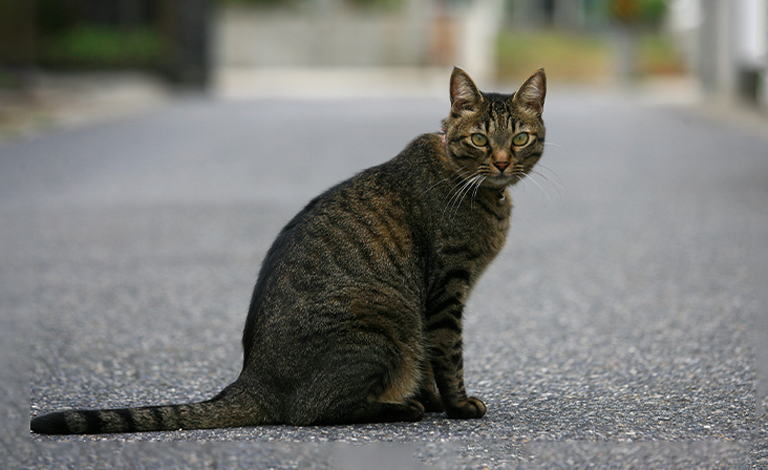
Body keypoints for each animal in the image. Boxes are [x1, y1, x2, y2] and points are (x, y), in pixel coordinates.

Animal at [31, 67, 544, 434]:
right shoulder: (445, 292)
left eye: (520, 138)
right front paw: (457, 406)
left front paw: (441, 402)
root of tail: (252, 380)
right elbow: (448, 356)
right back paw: (404, 407)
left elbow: (433, 362)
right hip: (385, 325)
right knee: (311, 411)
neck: (481, 192)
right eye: (480, 139)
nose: (503, 162)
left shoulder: (441, 301)